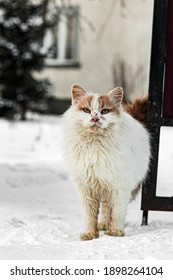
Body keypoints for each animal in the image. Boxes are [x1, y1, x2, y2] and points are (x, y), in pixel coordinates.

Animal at [62, 83, 150, 241]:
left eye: (105, 111)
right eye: (86, 110)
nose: (95, 118)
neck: (96, 146)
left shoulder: (119, 187)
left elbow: (117, 213)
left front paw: (115, 231)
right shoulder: (87, 189)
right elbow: (90, 216)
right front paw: (90, 234)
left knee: (108, 209)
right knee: (104, 209)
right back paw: (102, 225)